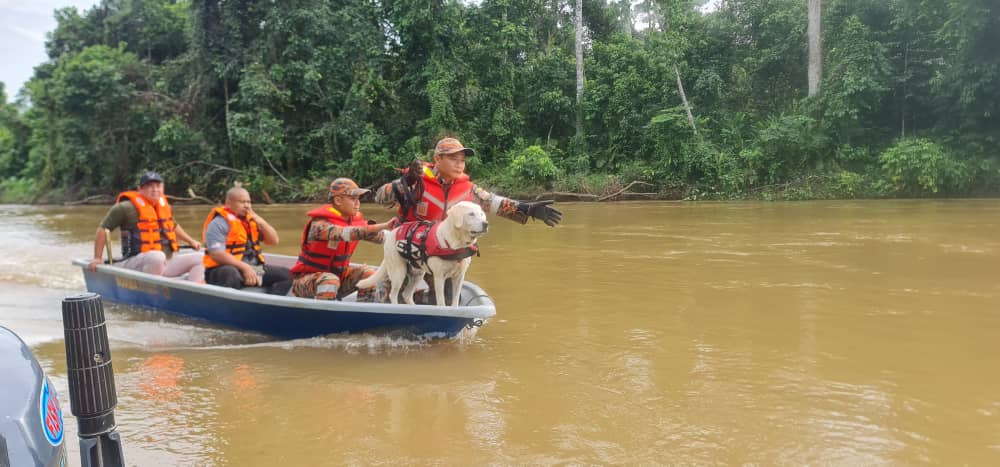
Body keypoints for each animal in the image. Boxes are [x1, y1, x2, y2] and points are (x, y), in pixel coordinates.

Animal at [356, 201, 488, 308]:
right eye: (471, 214)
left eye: (481, 214)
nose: (485, 223)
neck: (455, 243)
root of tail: (392, 233)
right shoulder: (439, 277)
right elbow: (441, 302)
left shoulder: (459, 277)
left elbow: (454, 302)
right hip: (399, 272)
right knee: (393, 294)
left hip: (417, 274)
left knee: (406, 294)